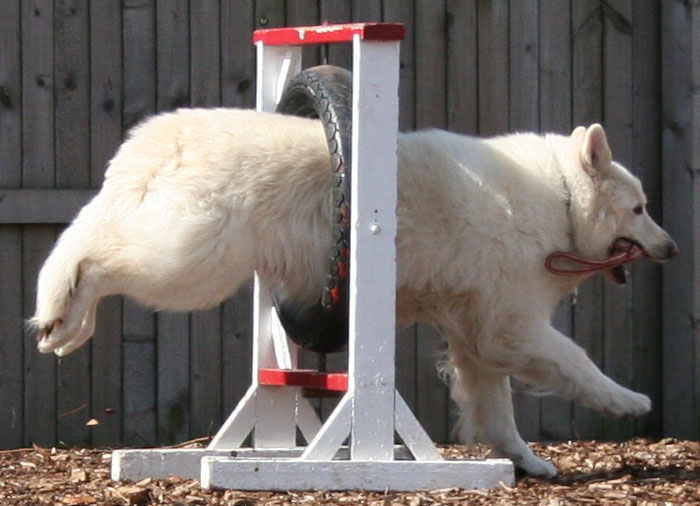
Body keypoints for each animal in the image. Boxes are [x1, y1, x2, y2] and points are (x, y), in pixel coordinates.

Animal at [31, 108, 680, 476]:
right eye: (640, 209)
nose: (673, 248)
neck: (562, 200)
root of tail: (159, 135)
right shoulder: (511, 326)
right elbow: (576, 361)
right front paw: (627, 401)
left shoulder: (479, 338)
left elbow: (497, 411)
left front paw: (526, 462)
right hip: (186, 263)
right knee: (95, 257)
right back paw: (67, 319)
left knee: (88, 238)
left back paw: (61, 320)